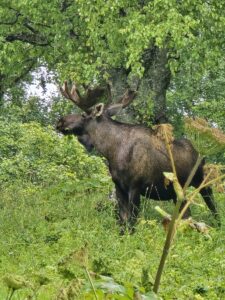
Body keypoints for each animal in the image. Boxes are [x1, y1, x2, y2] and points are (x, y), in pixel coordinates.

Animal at [56, 81, 220, 230]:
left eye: (83, 114)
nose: (60, 121)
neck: (111, 151)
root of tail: (202, 154)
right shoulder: (119, 187)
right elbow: (122, 221)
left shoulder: (136, 186)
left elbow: (132, 221)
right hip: (177, 193)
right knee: (186, 216)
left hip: (203, 182)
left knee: (213, 207)